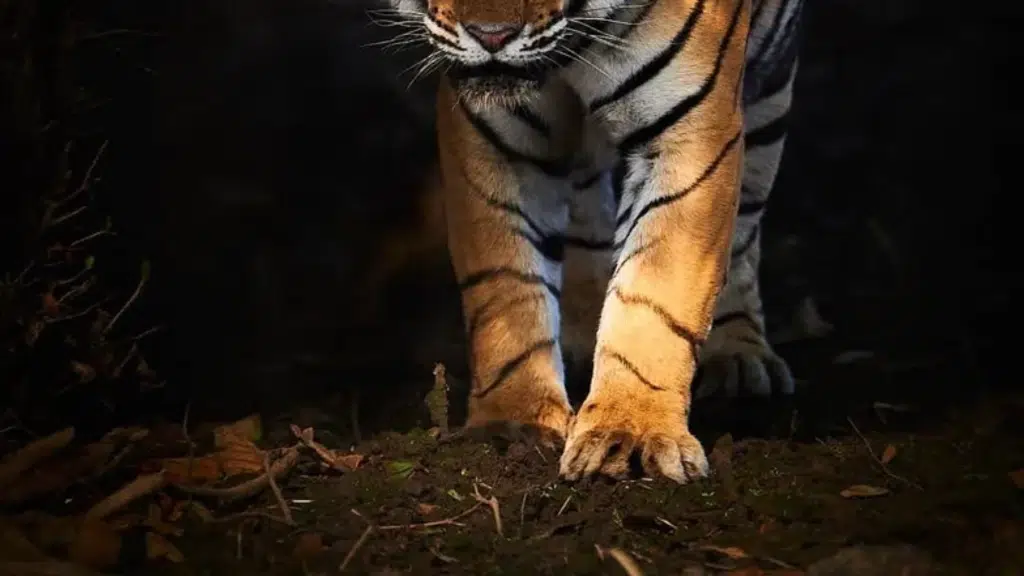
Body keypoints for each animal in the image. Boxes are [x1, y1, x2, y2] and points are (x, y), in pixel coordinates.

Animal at [380, 0, 803, 483]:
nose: (492, 36)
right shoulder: (493, 131)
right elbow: (506, 288)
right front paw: (513, 421)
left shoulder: (690, 131)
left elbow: (655, 297)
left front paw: (631, 429)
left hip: (771, 87)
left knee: (746, 217)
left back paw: (739, 355)